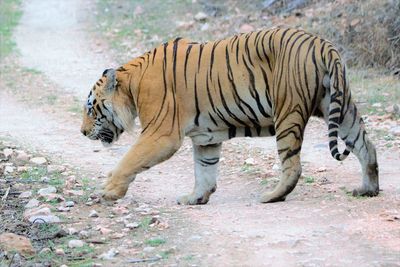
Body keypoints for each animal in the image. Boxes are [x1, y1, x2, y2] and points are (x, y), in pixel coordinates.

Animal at [80, 27, 378, 205]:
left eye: (91, 108)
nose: (82, 132)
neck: (132, 84)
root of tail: (323, 44)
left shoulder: (161, 134)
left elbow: (129, 160)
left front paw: (108, 191)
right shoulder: (206, 138)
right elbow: (205, 169)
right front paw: (195, 198)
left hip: (288, 112)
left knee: (292, 164)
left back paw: (271, 196)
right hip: (339, 106)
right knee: (366, 145)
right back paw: (368, 189)